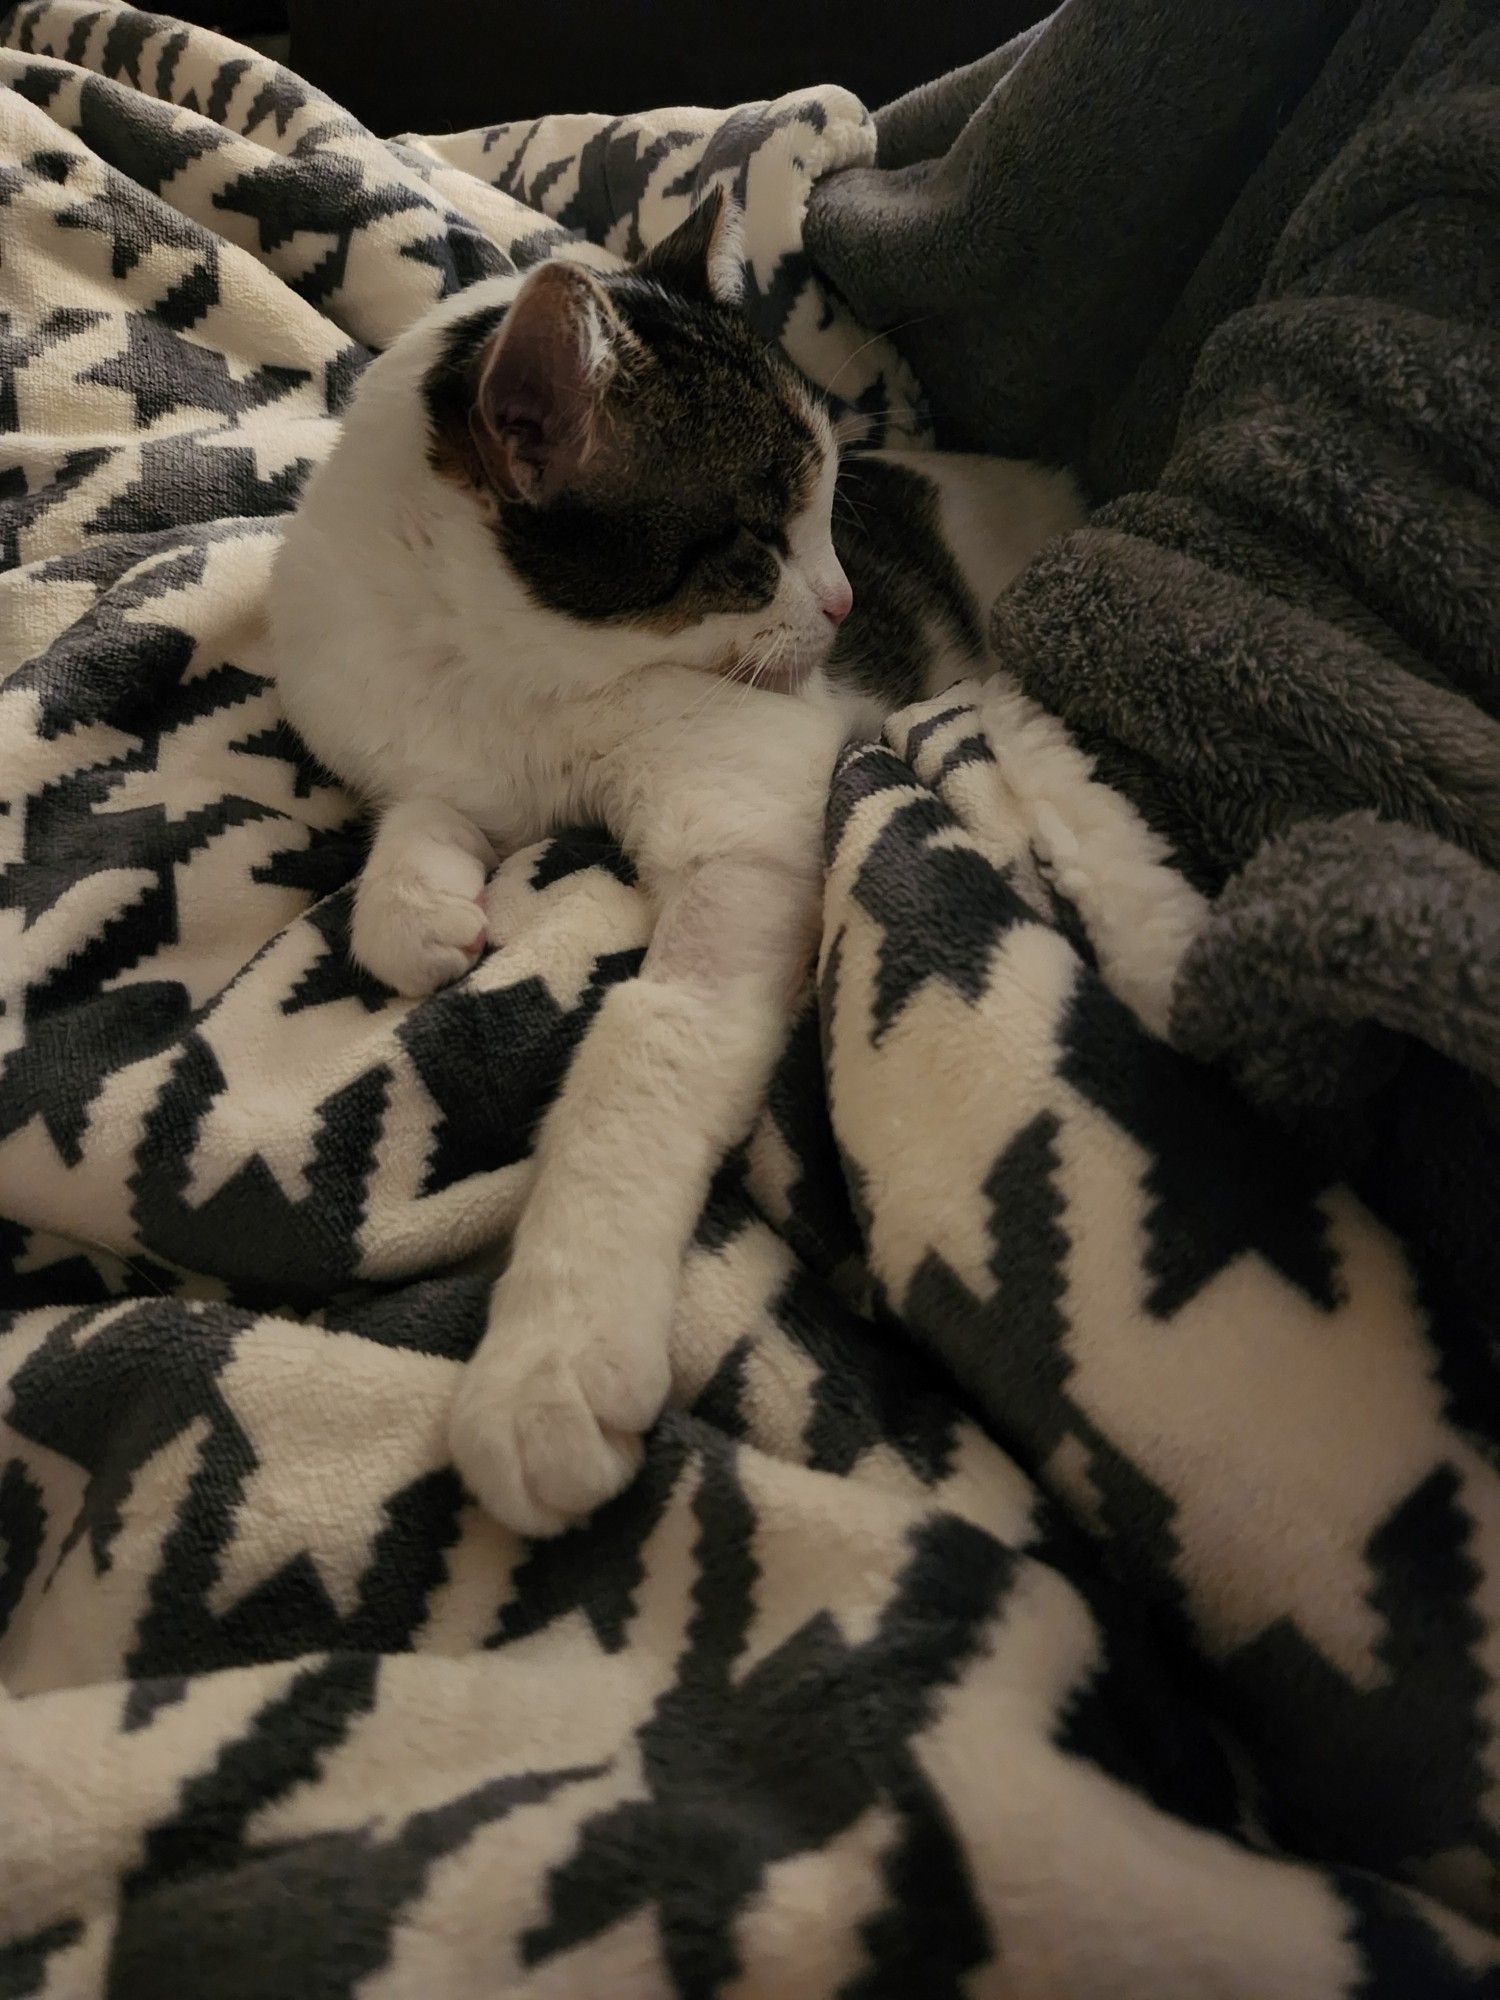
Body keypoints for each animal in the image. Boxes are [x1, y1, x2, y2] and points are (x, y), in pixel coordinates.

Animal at [274, 191, 1080, 1528]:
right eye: (755, 539)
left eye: (830, 512)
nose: (844, 604)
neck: (503, 677)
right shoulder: (399, 720)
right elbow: (427, 803)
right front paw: (414, 897)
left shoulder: (753, 820)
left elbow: (651, 1035)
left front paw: (548, 1359)